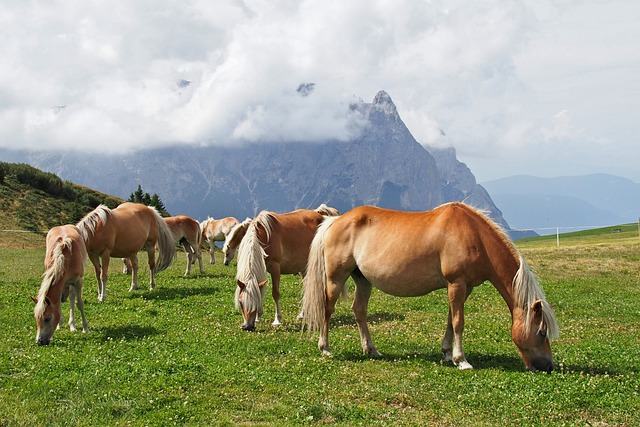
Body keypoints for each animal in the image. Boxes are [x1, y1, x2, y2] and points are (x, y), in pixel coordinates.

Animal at [302, 202, 556, 372]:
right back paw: (325, 347)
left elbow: (451, 320)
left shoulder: (463, 287)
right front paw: (461, 360)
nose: (548, 366)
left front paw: (447, 353)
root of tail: (334, 221)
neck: (474, 235)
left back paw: (371, 349)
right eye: (542, 331)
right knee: (327, 309)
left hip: (363, 280)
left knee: (359, 311)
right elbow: (458, 322)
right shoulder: (457, 283)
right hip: (336, 278)